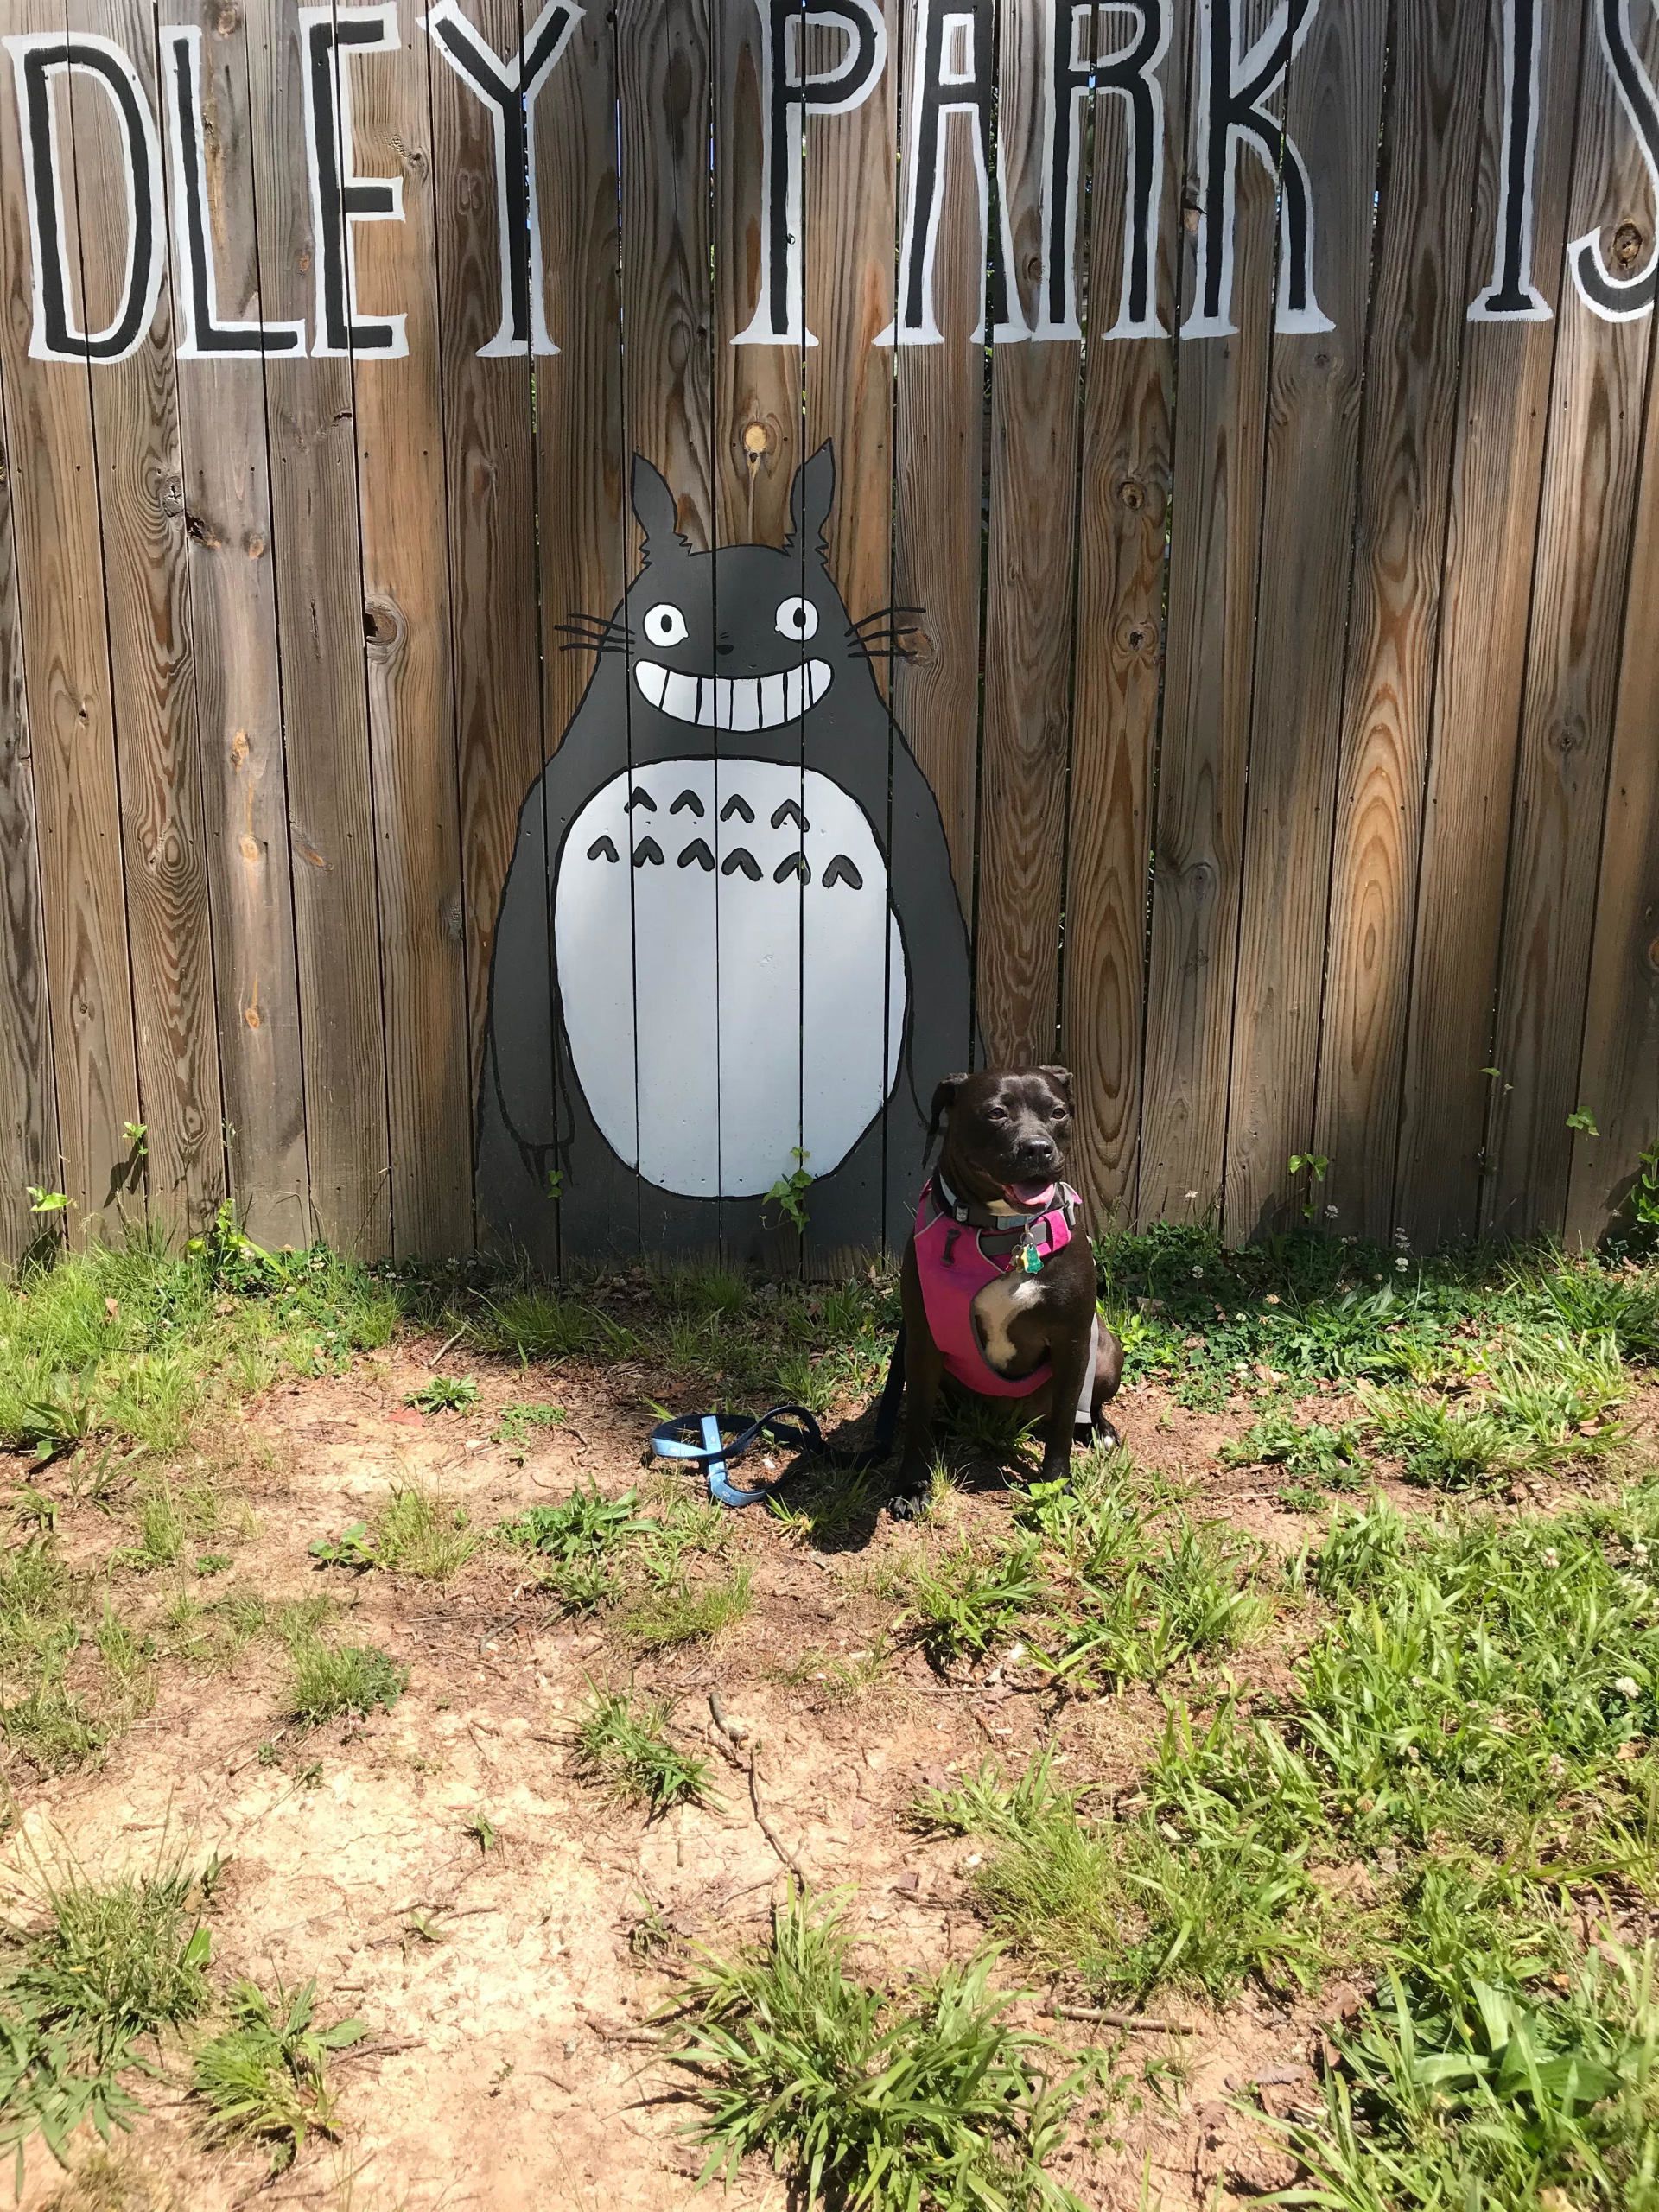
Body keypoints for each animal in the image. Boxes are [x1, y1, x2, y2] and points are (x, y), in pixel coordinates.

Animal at [898, 1071, 1132, 1522]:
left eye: (1057, 1112)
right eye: (996, 1112)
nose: (1037, 1147)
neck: (1005, 1231)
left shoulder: (1072, 1342)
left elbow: (1062, 1425)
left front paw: (1057, 1484)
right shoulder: (922, 1340)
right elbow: (914, 1417)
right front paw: (912, 1485)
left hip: (1107, 1352)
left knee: (1085, 1407)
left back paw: (1100, 1429)